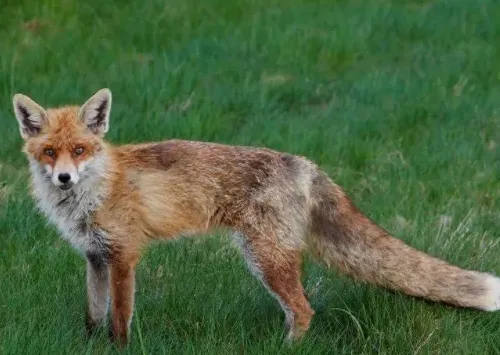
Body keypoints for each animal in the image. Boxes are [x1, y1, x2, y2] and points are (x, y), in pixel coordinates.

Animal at [10, 88, 500, 348]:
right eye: (49, 152)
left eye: (80, 150)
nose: (64, 178)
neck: (94, 193)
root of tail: (304, 163)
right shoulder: (95, 256)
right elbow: (93, 316)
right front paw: (90, 346)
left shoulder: (125, 254)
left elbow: (120, 318)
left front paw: (120, 349)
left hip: (265, 257)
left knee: (304, 309)